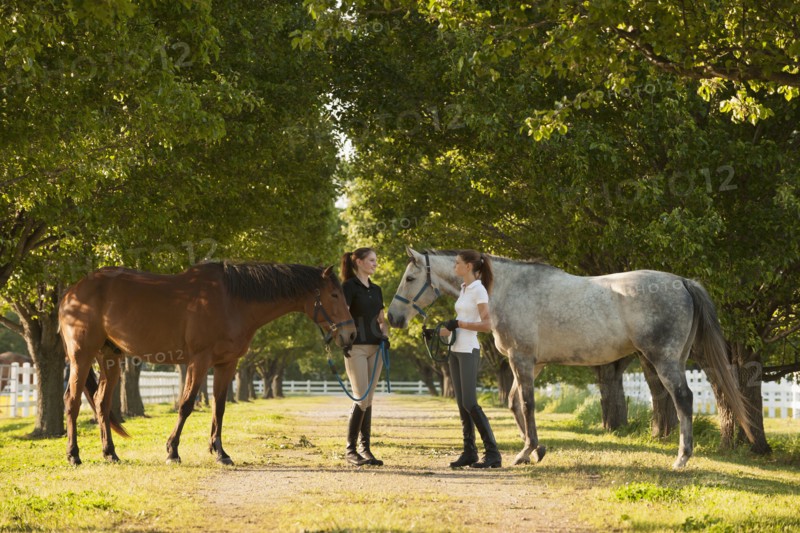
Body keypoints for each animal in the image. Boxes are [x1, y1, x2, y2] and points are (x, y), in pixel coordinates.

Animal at [58, 261, 356, 466]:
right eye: (334, 295)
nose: (351, 334)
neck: (231, 301)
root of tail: (71, 292)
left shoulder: (227, 364)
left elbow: (219, 407)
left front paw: (220, 452)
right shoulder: (199, 361)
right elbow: (186, 405)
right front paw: (173, 451)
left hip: (110, 357)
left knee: (101, 402)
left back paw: (110, 454)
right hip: (81, 357)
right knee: (72, 401)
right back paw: (73, 455)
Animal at [387, 248, 754, 469]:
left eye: (409, 278)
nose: (392, 318)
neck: (504, 289)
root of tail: (682, 281)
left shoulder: (521, 360)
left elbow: (527, 404)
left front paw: (525, 452)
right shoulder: (533, 363)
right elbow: (514, 403)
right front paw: (536, 451)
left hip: (663, 359)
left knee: (683, 398)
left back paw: (681, 458)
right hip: (674, 358)